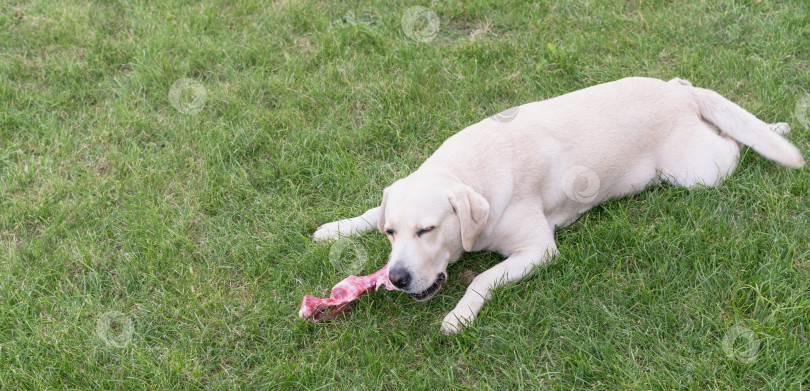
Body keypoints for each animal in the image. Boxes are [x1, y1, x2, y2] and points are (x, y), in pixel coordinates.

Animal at [310, 78, 800, 336]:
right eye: (391, 233)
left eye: (427, 231)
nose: (395, 277)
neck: (470, 171)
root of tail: (681, 89)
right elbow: (368, 212)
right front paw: (337, 227)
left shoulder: (538, 250)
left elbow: (482, 278)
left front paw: (459, 316)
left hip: (699, 172)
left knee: (733, 142)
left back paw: (771, 128)